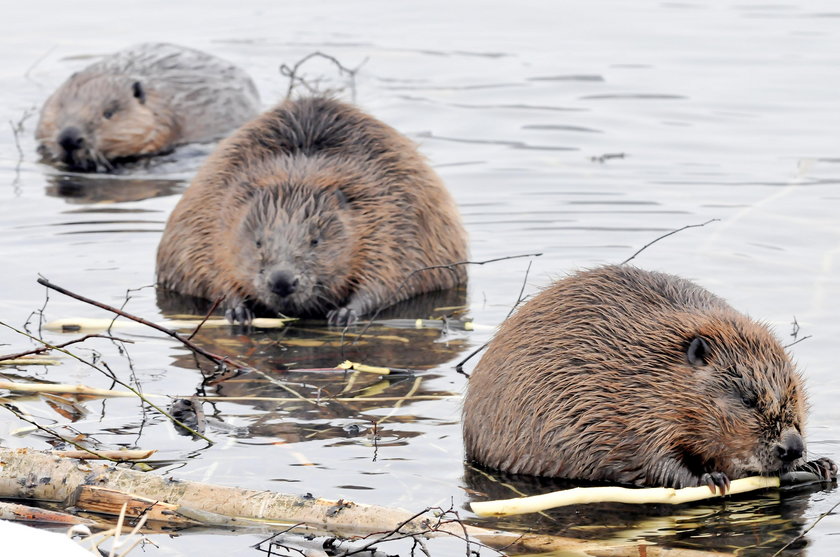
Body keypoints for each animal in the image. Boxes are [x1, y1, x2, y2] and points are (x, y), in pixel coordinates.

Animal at [155, 96, 470, 326]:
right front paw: (238, 312)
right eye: (257, 241)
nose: (282, 281)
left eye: (315, 240)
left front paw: (344, 313)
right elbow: (210, 269)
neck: (298, 178)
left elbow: (388, 276)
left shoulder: (392, 216)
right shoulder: (212, 211)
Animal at [462, 264, 836, 490]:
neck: (649, 368)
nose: (793, 447)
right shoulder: (628, 412)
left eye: (796, 397)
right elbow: (653, 460)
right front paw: (711, 478)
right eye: (748, 399)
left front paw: (821, 465)